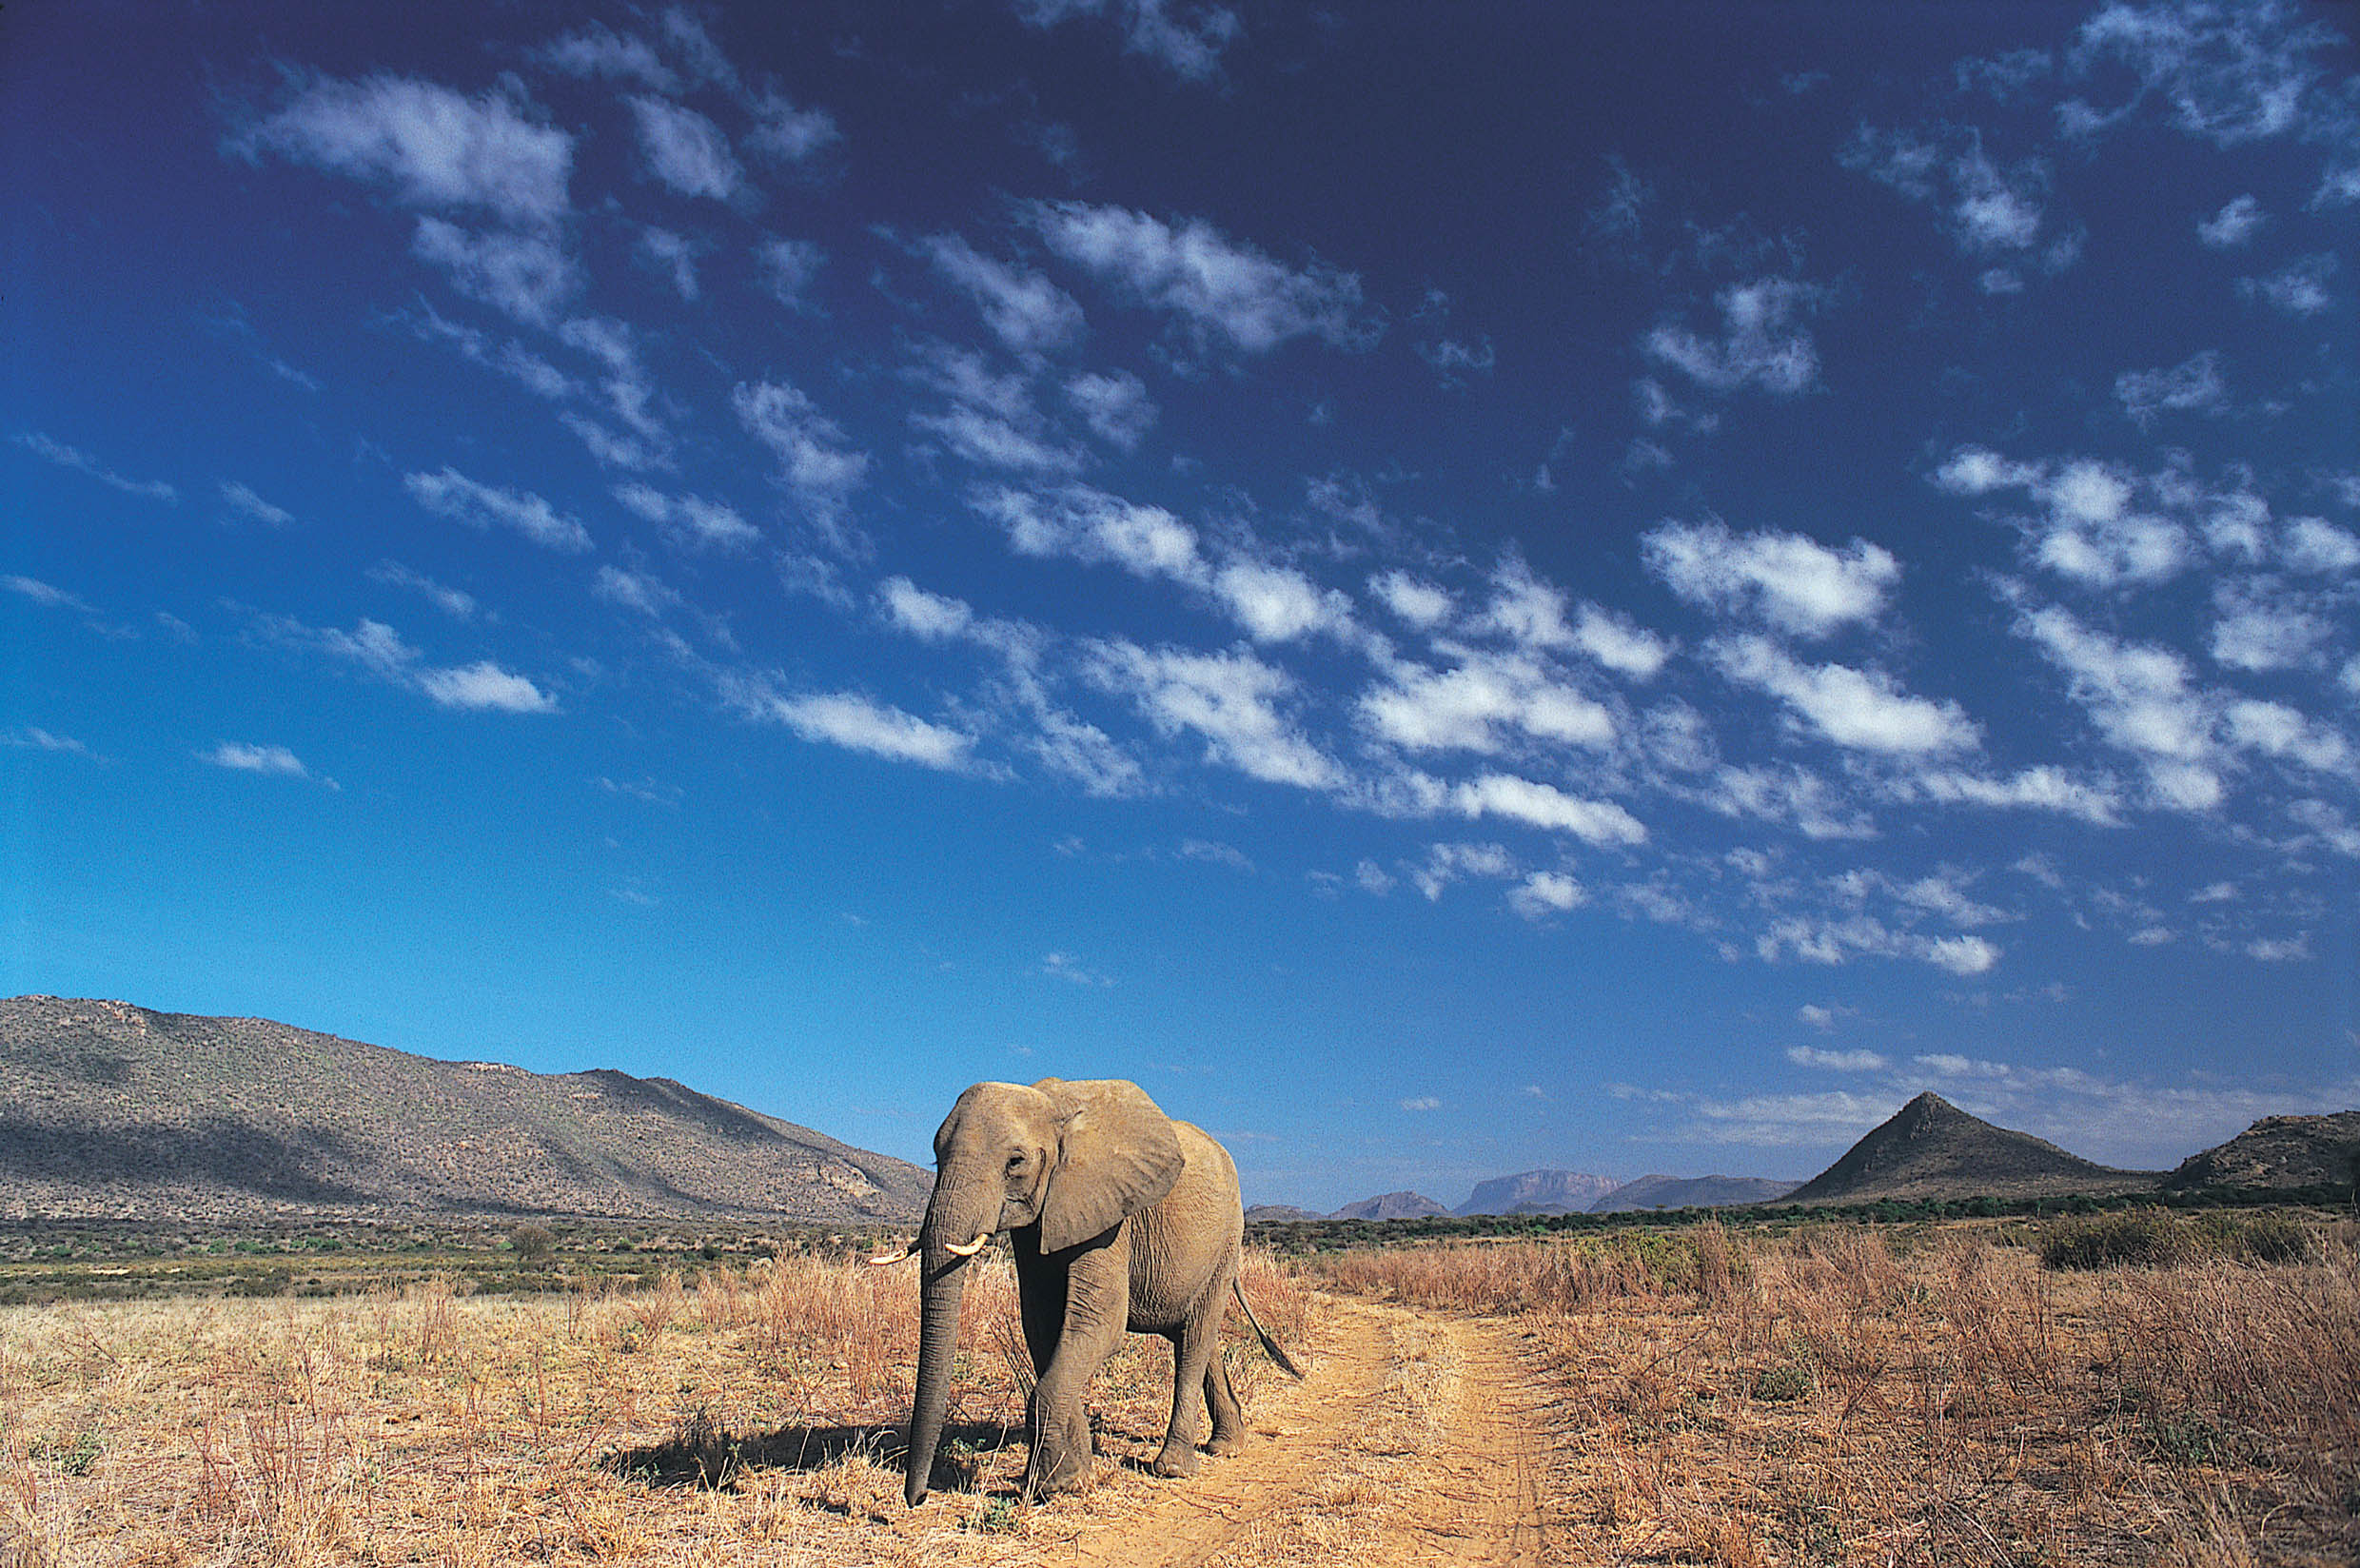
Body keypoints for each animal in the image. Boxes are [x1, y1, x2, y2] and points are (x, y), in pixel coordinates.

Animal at [874, 1077, 1301, 1507]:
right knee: (1197, 1336)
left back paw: (1174, 1468)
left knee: (1196, 1337)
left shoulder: (1110, 1215)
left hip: (1227, 1240)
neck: (1052, 1106)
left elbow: (1099, 1324)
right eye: (935, 1158)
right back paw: (1226, 1447)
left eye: (1015, 1162)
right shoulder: (1040, 1218)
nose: (918, 1498)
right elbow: (1043, 1326)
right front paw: (1073, 1479)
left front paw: (1051, 1487)